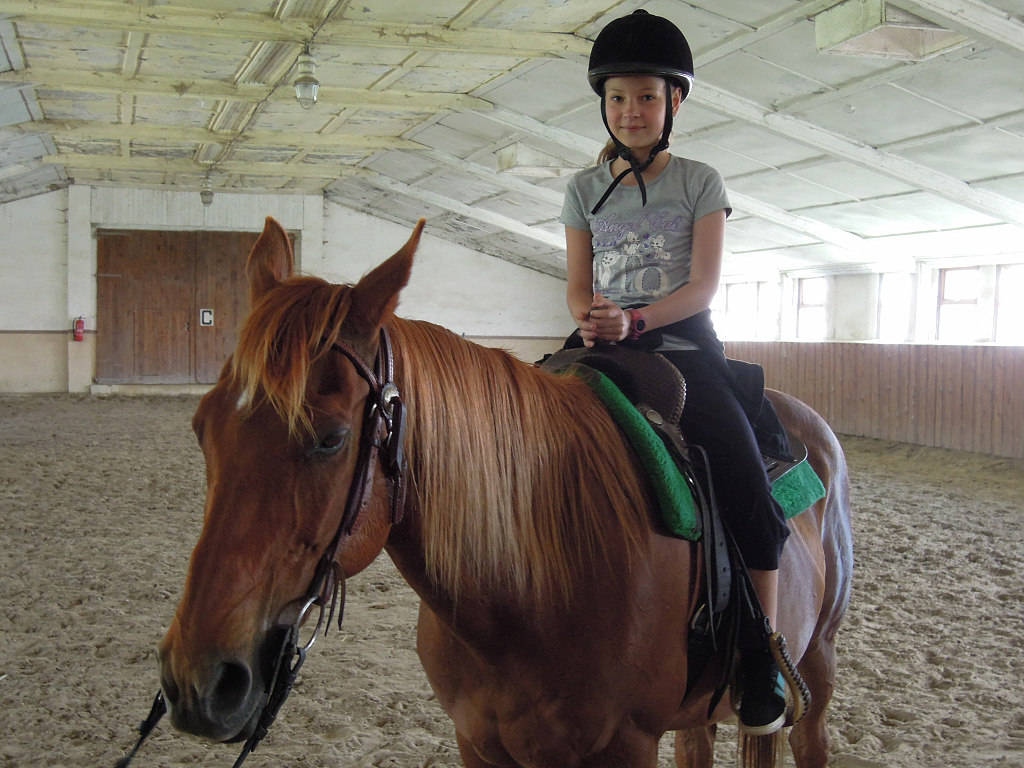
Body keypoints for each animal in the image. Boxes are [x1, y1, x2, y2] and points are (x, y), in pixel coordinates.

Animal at [156, 216, 853, 768]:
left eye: (329, 438)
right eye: (201, 429)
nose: (198, 682)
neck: (529, 586)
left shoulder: (625, 746)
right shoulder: (479, 743)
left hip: (816, 657)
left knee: (811, 737)